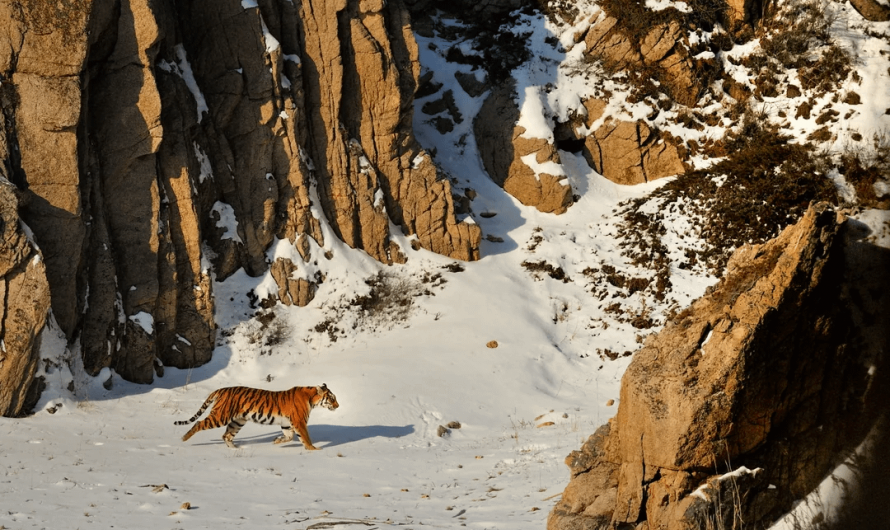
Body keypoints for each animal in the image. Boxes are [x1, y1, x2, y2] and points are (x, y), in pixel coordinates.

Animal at [174, 383, 338, 450]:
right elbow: (305, 437)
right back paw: (183, 438)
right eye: (332, 398)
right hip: (220, 416)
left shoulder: (287, 423)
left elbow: (289, 436)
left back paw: (235, 449)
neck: (311, 399)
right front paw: (314, 450)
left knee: (226, 435)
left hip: (238, 421)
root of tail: (221, 389)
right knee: (199, 423)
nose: (337, 406)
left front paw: (277, 440)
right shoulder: (299, 422)